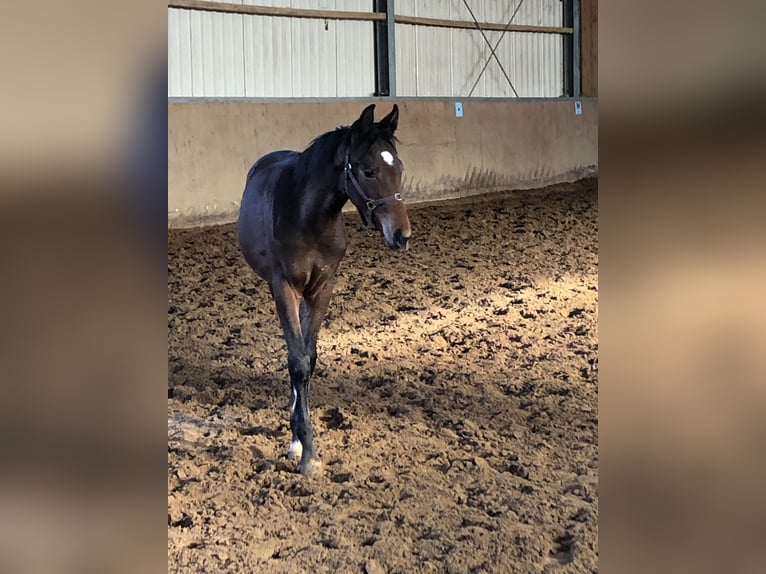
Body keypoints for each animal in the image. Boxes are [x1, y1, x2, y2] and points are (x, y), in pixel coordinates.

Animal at [238, 106, 412, 480]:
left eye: (400, 168)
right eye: (368, 170)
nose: (401, 235)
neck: (309, 218)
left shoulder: (322, 288)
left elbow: (309, 358)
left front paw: (299, 438)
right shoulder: (284, 286)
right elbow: (298, 361)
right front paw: (308, 452)